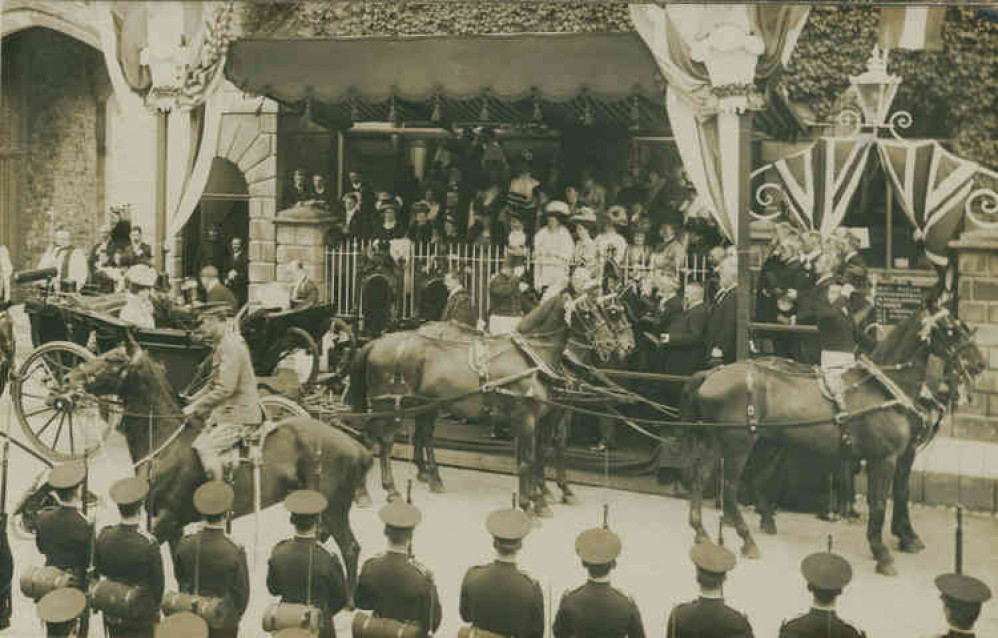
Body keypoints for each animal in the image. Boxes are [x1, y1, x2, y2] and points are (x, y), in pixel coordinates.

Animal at [63, 340, 376, 600]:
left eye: (113, 358)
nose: (69, 377)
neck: (167, 442)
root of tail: (357, 447)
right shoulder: (175, 524)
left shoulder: (167, 519)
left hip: (334, 510)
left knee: (350, 548)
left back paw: (349, 600)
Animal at [344, 292, 624, 520]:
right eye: (586, 312)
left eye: (603, 311)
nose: (611, 344)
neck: (533, 358)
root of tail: (377, 342)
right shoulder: (526, 417)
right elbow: (528, 460)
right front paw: (529, 505)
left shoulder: (545, 416)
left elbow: (539, 456)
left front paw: (541, 500)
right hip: (392, 404)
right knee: (379, 441)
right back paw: (381, 491)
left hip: (421, 404)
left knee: (406, 436)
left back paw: (420, 480)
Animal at [684, 308, 988, 576]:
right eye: (950, 330)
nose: (979, 364)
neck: (883, 388)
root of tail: (711, 374)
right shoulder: (885, 458)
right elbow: (880, 503)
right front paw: (882, 552)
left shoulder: (902, 454)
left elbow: (899, 494)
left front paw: (902, 538)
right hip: (739, 445)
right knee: (729, 490)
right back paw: (747, 539)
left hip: (724, 442)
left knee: (702, 479)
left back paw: (703, 532)